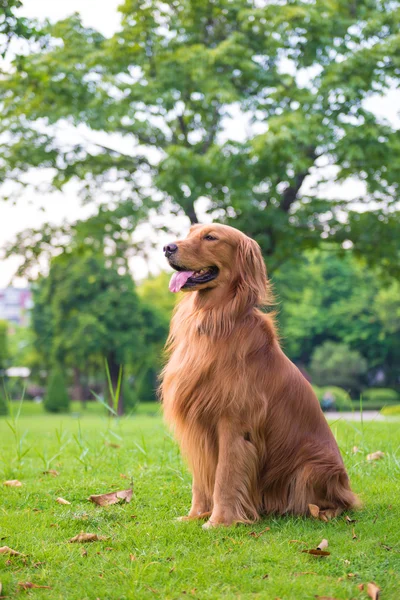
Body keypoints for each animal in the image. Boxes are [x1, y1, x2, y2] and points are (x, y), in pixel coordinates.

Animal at [161, 223, 358, 528]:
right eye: (190, 231)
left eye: (211, 237)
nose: (168, 247)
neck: (216, 319)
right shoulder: (200, 425)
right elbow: (200, 481)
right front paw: (195, 515)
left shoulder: (233, 423)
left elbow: (225, 477)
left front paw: (219, 522)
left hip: (312, 468)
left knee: (342, 503)